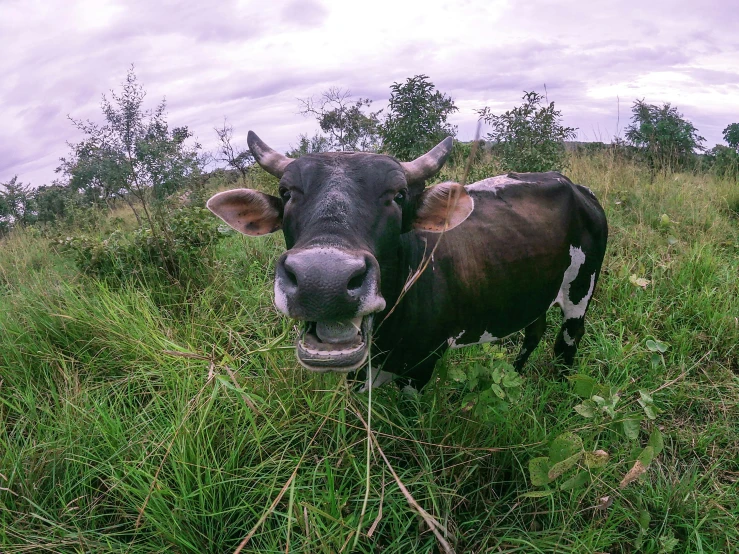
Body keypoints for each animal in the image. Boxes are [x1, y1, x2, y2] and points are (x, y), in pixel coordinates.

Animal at [207, 132, 608, 388]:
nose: (323, 280)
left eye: (398, 195)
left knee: (566, 343)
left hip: (579, 293)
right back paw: (518, 373)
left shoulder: (423, 363)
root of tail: (576, 187)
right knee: (534, 330)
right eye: (287, 192)